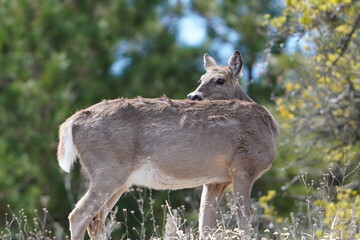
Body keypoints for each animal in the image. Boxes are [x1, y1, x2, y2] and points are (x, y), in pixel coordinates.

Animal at [57, 50, 280, 240]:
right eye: (201, 79)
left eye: (219, 80)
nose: (192, 96)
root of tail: (73, 120)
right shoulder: (244, 166)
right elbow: (244, 224)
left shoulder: (215, 180)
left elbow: (205, 226)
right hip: (108, 168)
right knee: (79, 216)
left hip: (121, 179)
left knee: (97, 220)